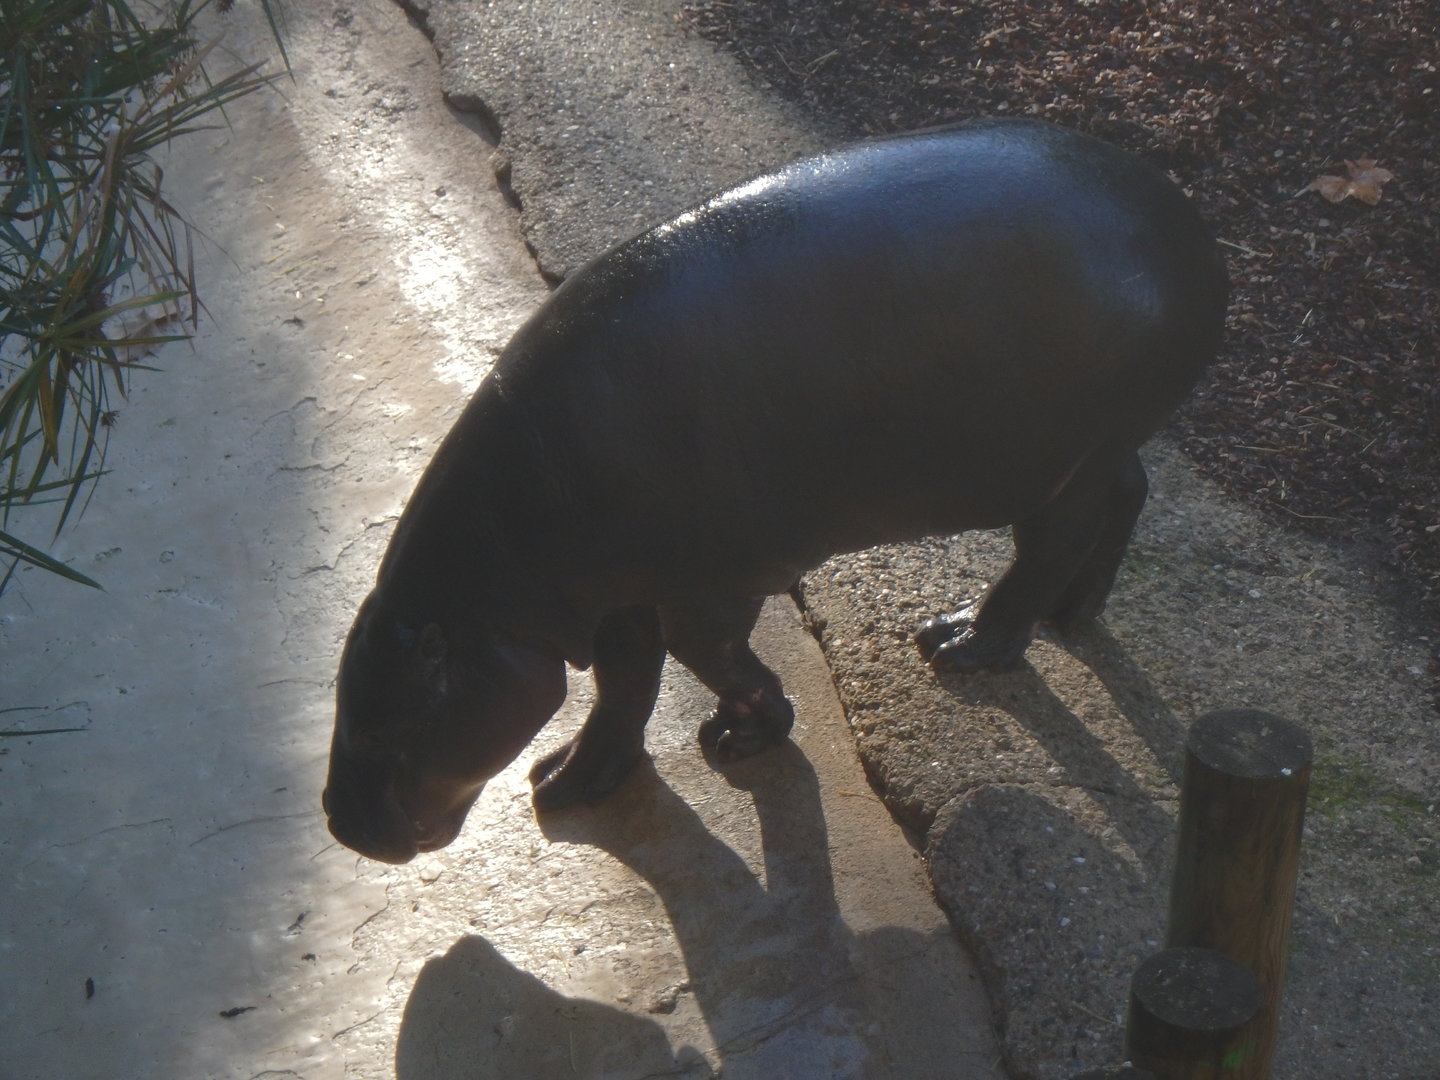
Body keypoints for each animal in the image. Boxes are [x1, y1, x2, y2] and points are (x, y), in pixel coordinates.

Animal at [323, 118, 1227, 864]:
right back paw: (1073, 615)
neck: (493, 590)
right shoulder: (622, 593)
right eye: (343, 695)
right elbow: (623, 685)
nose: (337, 822)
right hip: (1100, 446)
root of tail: (1189, 227)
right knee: (1128, 492)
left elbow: (708, 657)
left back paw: (958, 642)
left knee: (1048, 545)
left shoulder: (707, 586)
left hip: (1056, 465)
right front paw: (568, 780)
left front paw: (739, 736)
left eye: (390, 722)